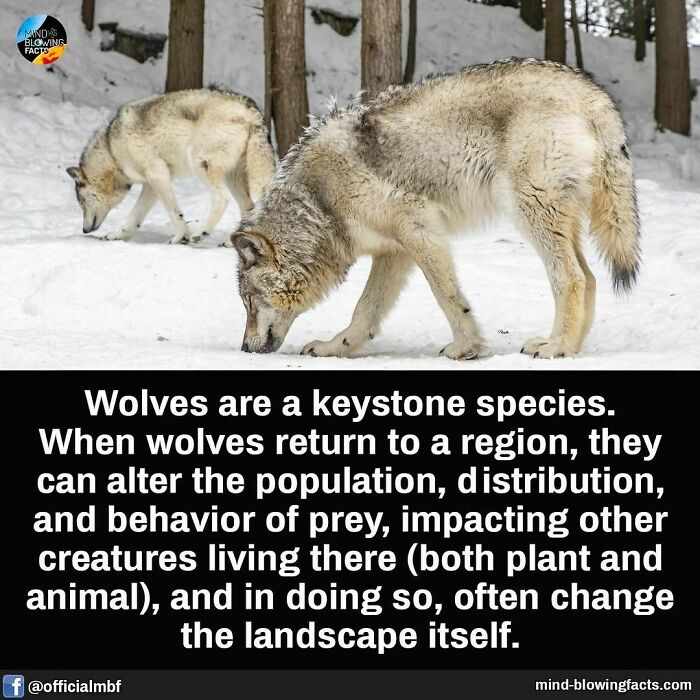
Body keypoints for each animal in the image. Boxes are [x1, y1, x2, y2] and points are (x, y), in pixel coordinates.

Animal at [67, 88, 275, 244]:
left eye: (82, 202)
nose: (84, 230)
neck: (112, 150)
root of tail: (252, 110)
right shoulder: (150, 186)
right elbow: (134, 217)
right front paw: (117, 235)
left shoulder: (158, 175)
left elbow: (174, 211)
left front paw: (181, 237)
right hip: (232, 178)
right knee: (248, 207)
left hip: (200, 164)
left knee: (221, 199)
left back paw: (202, 232)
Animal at [232, 59, 640, 358]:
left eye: (249, 302)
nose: (245, 348)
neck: (320, 200)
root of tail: (590, 91)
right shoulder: (393, 251)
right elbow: (364, 311)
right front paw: (336, 347)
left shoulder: (420, 229)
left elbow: (447, 296)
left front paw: (466, 348)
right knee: (589, 277)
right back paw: (571, 348)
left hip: (530, 213)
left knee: (570, 278)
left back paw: (555, 347)